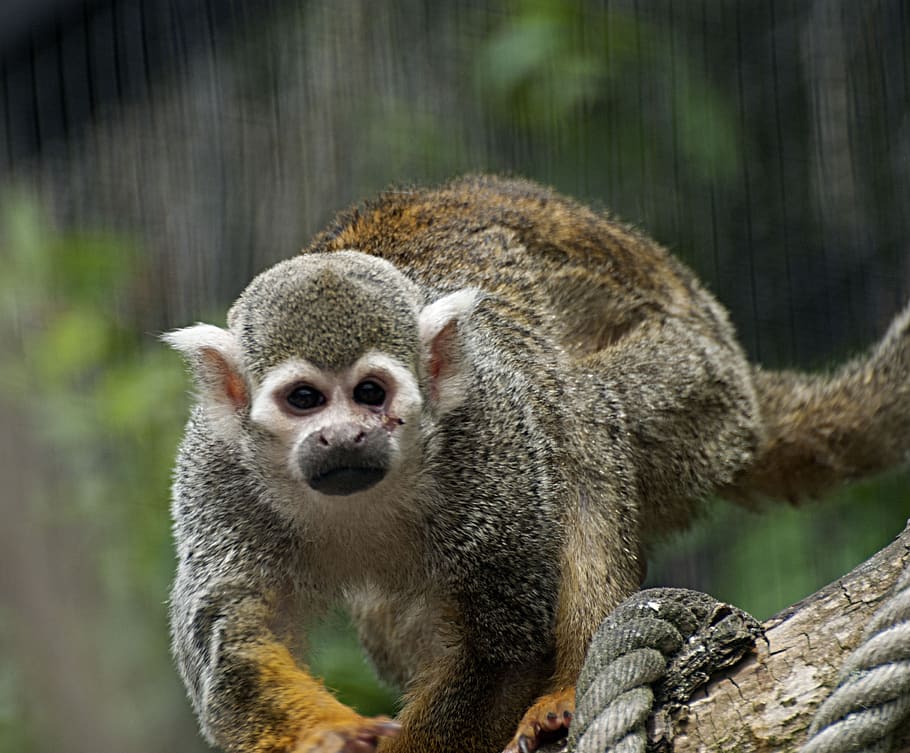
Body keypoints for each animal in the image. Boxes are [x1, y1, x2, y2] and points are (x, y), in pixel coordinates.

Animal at [164, 175, 910, 753]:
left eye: (371, 393)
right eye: (304, 399)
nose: (345, 438)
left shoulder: (486, 437)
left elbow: (502, 643)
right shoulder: (217, 471)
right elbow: (231, 641)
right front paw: (326, 735)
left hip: (698, 390)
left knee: (580, 419)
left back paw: (568, 686)